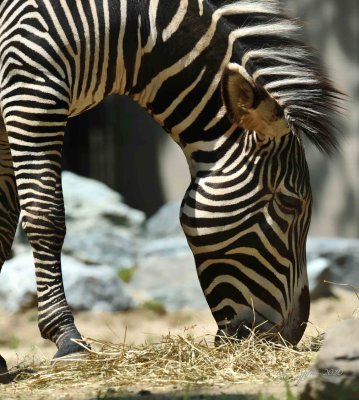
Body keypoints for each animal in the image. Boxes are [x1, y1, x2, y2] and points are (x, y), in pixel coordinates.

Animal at [0, 0, 340, 380]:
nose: (293, 334)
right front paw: (68, 339)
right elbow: (46, 218)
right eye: (291, 203)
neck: (128, 31)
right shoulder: (30, 91)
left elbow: (2, 229)